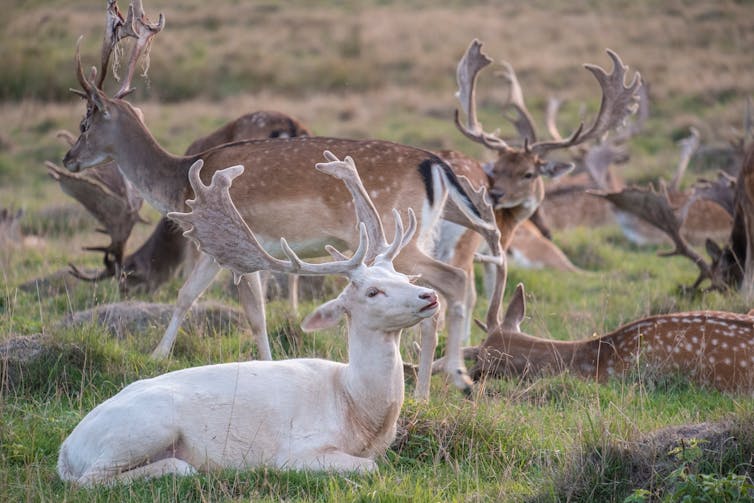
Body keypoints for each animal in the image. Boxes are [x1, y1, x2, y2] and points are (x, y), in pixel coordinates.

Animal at [55, 154, 438, 488]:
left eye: (403, 277)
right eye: (373, 292)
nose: (429, 295)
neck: (357, 407)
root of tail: (67, 449)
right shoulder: (296, 451)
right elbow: (370, 466)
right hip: (143, 427)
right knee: (90, 481)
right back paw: (185, 467)